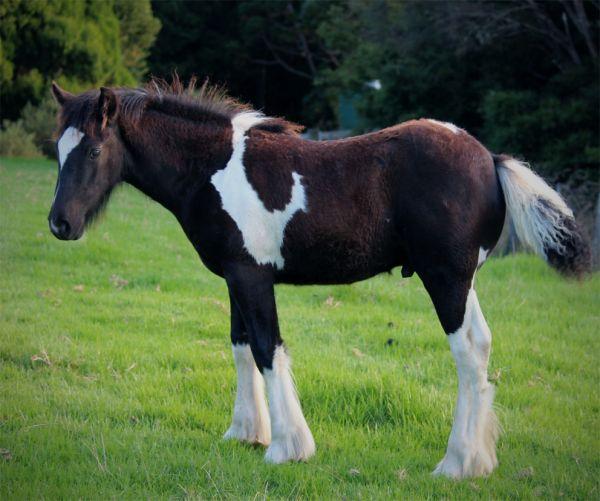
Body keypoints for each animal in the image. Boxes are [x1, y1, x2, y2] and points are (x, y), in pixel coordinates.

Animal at [48, 78, 592, 476]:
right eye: (57, 150)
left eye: (93, 150)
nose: (60, 225)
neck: (213, 169)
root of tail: (489, 159)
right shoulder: (234, 277)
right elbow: (241, 347)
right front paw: (246, 433)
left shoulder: (251, 276)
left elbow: (267, 349)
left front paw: (288, 447)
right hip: (463, 281)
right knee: (481, 346)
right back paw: (478, 461)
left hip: (446, 279)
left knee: (466, 352)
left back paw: (455, 464)